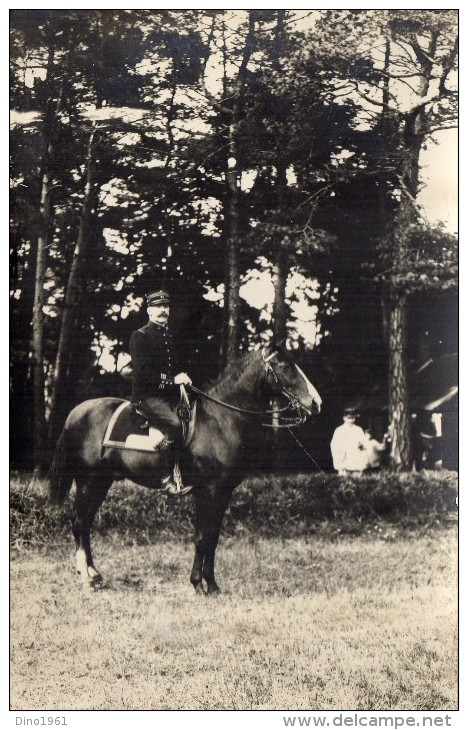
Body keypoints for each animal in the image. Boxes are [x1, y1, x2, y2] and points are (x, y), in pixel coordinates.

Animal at [48, 346, 322, 592]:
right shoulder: (208, 491)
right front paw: (200, 585)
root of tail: (77, 412)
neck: (220, 420)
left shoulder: (223, 492)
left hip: (101, 482)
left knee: (85, 523)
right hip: (88, 480)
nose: (316, 403)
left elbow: (212, 537)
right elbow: (202, 537)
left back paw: (95, 574)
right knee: (79, 522)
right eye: (284, 366)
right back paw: (87, 578)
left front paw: (211, 585)